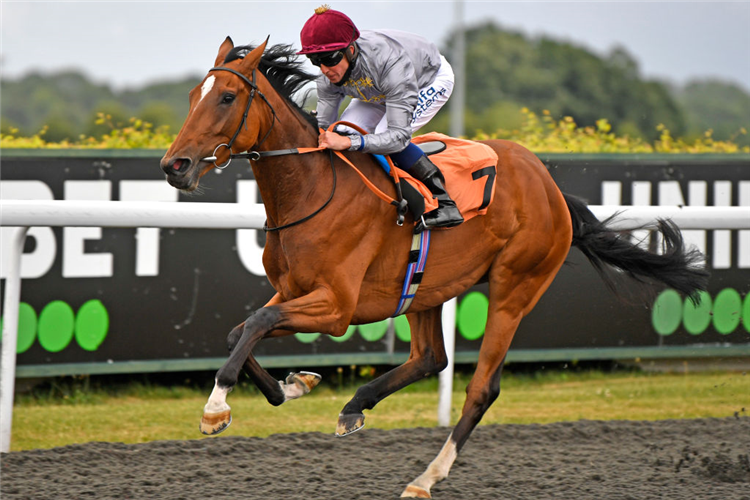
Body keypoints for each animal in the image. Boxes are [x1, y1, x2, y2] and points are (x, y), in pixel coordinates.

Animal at [160, 38, 712, 496]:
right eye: (192, 95)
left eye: (227, 97)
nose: (174, 166)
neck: (313, 189)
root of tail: (552, 188)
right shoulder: (295, 289)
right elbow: (240, 331)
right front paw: (295, 385)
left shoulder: (336, 307)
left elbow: (257, 322)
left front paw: (215, 408)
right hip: (425, 287)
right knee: (431, 357)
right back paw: (356, 406)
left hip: (515, 286)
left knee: (481, 387)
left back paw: (426, 478)